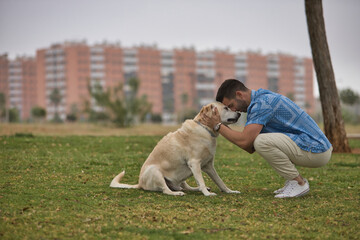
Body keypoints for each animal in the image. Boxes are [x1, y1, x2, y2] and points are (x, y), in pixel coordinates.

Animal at [108, 102, 240, 196]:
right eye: (226, 108)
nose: (239, 113)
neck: (205, 129)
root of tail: (140, 184)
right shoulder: (194, 163)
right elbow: (201, 181)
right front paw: (207, 194)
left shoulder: (208, 166)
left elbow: (220, 181)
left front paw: (229, 191)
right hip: (155, 171)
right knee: (166, 190)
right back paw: (177, 193)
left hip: (182, 177)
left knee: (186, 187)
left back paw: (193, 189)